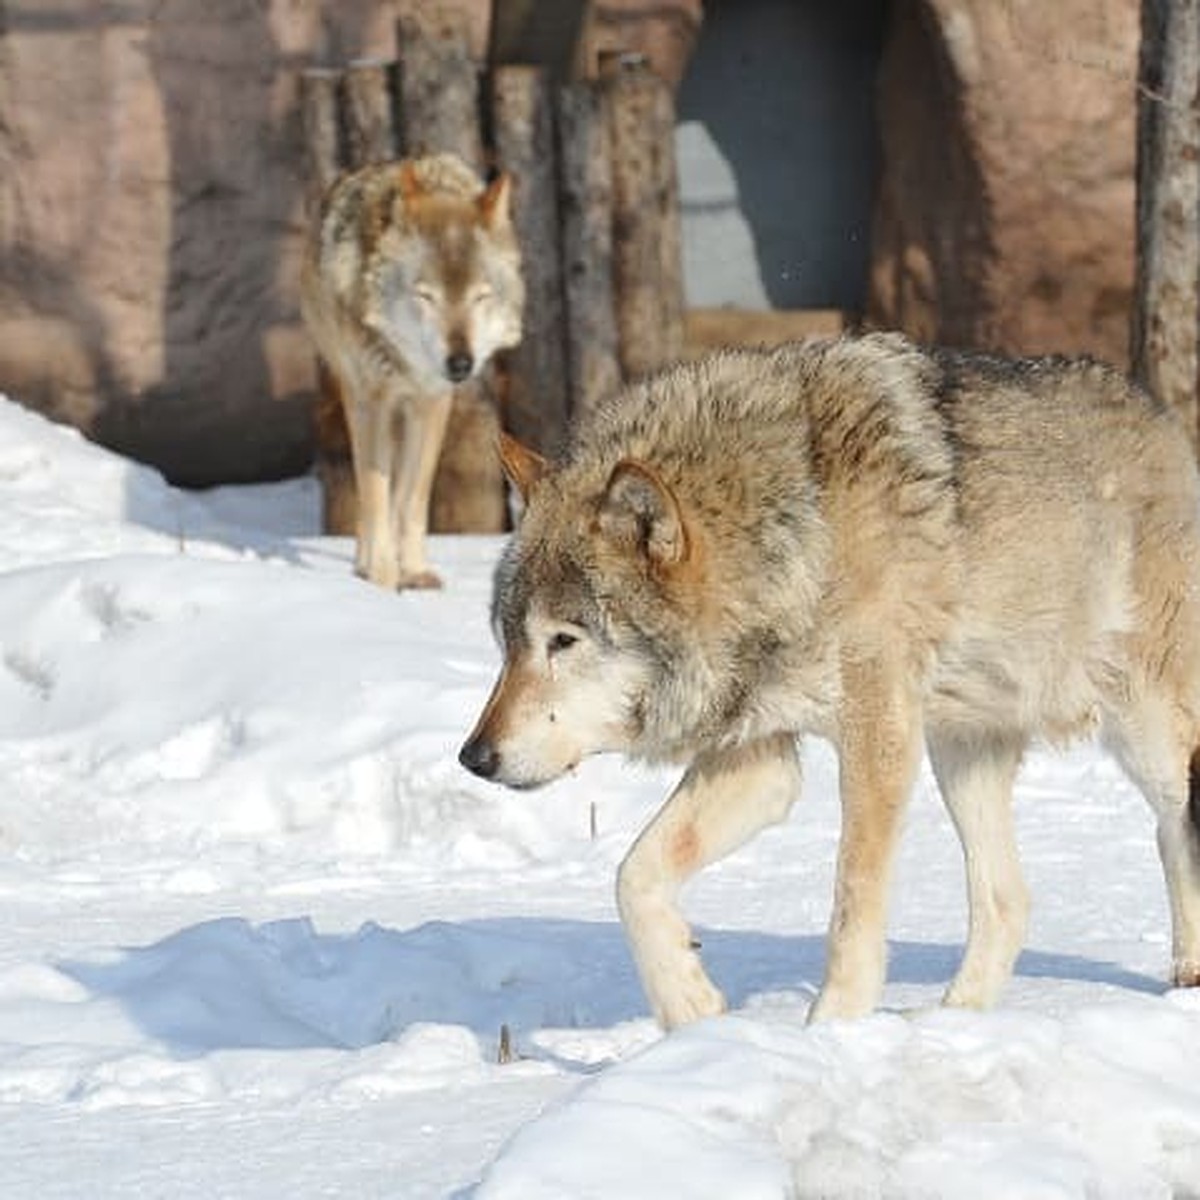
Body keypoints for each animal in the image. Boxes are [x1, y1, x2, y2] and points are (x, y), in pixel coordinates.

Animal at [300, 152, 520, 592]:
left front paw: (414, 570)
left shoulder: (432, 402)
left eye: (480, 296)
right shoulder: (375, 401)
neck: (406, 365)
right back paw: (364, 563)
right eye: (426, 295)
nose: (460, 363)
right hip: (357, 397)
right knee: (366, 488)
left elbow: (413, 496)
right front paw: (382, 577)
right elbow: (375, 492)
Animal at [460, 336, 1200, 1032]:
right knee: (1010, 900)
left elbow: (852, 902)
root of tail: (1166, 423)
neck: (794, 530)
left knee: (1171, 826)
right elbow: (632, 877)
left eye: (563, 640)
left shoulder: (879, 738)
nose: (473, 758)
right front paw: (694, 1013)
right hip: (963, 753)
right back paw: (949, 1022)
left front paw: (829, 1033)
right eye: (507, 641)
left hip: (1147, 738)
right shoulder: (760, 758)